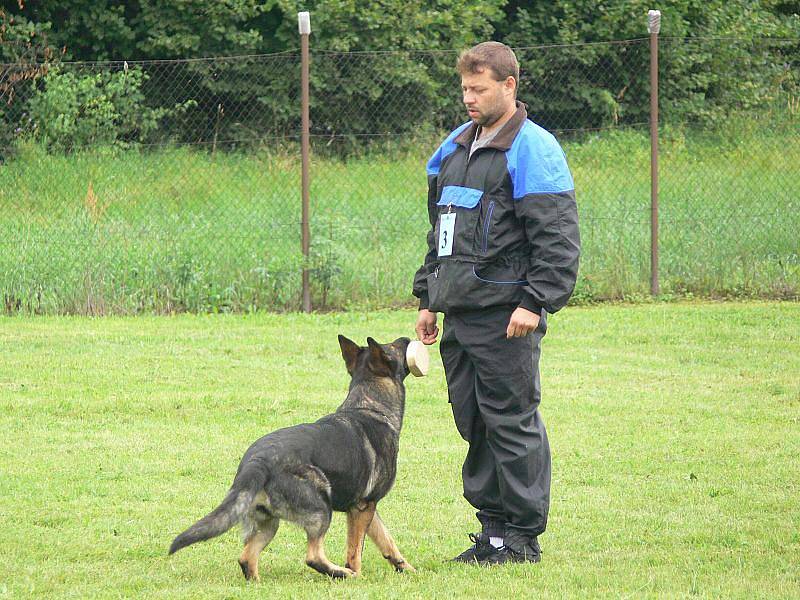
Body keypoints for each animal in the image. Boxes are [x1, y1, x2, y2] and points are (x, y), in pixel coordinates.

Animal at [170, 336, 418, 580]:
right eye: (393, 347)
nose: (408, 338)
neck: (370, 406)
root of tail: (257, 462)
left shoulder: (365, 507)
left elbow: (386, 539)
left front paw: (406, 568)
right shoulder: (362, 506)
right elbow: (355, 549)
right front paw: (357, 573)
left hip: (269, 522)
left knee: (246, 557)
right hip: (321, 509)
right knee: (313, 556)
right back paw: (344, 573)